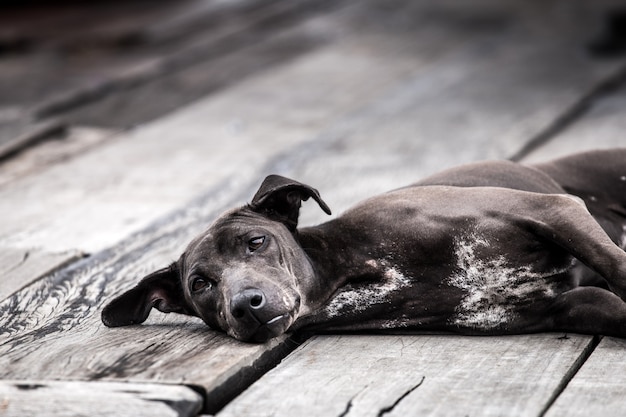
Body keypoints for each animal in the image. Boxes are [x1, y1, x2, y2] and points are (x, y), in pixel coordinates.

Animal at [100, 149, 624, 342]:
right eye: (200, 284)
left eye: (256, 241)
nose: (245, 305)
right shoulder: (570, 304)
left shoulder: (555, 209)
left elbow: (616, 267)